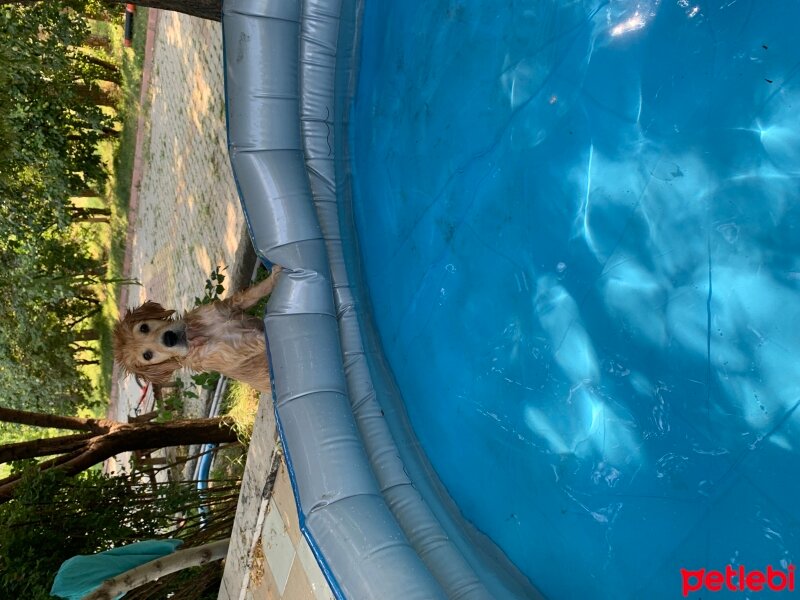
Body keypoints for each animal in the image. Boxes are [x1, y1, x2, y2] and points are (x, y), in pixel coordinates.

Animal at [112, 268, 282, 394]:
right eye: (147, 356)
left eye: (144, 327)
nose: (169, 338)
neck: (197, 334)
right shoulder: (236, 347)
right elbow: (261, 338)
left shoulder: (229, 307)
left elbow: (252, 293)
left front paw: (275, 275)